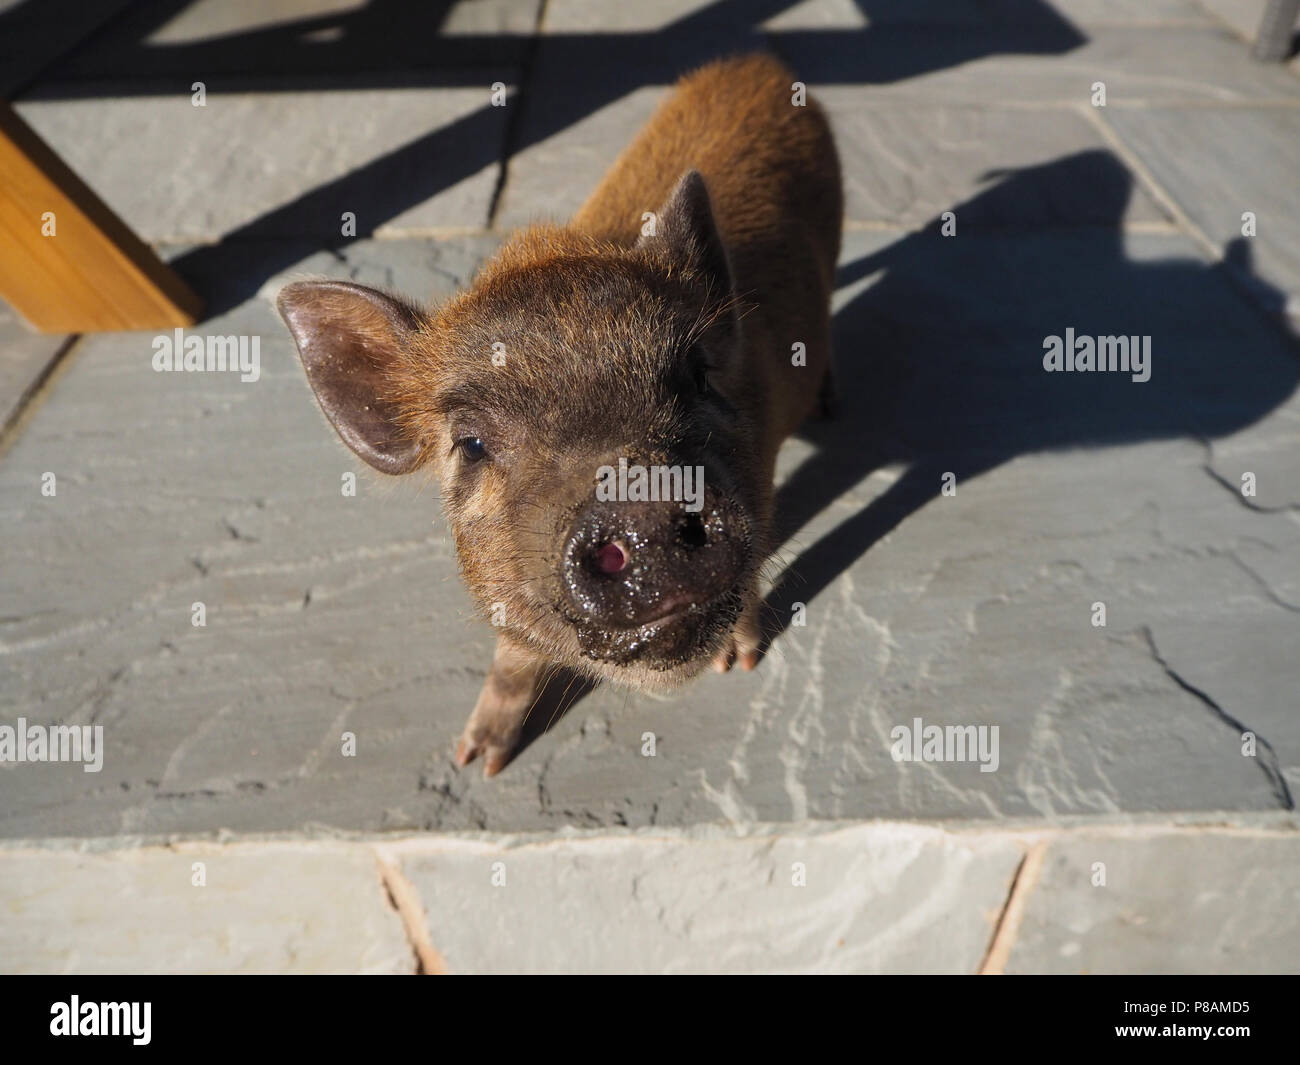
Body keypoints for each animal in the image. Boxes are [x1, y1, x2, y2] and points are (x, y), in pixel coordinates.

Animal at [276, 52, 842, 775]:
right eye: (471, 443)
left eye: (694, 374)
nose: (641, 503)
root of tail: (760, 63)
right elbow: (513, 660)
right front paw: (475, 762)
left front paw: (737, 666)